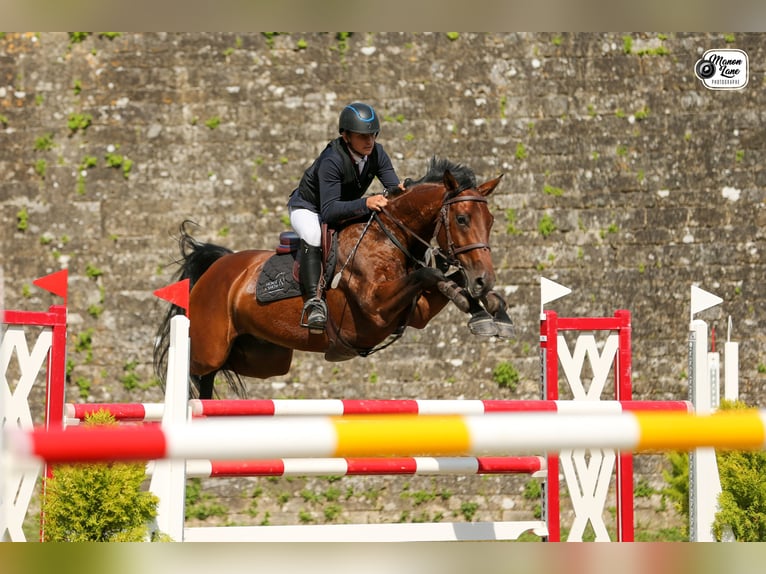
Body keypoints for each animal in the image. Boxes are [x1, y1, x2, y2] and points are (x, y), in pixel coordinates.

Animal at [154, 158, 514, 399]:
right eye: (462, 219)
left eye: (491, 221)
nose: (483, 279)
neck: (390, 236)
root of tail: (217, 267)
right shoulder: (376, 308)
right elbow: (432, 273)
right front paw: (479, 308)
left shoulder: (416, 313)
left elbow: (441, 277)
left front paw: (492, 312)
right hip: (210, 347)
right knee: (190, 368)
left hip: (265, 358)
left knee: (217, 374)